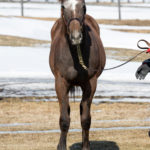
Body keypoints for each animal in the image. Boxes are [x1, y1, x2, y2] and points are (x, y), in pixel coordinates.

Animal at [49, 0, 105, 149]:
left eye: (84, 7)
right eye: (63, 7)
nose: (76, 37)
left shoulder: (90, 83)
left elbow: (85, 119)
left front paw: (86, 146)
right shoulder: (60, 83)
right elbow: (64, 119)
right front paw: (61, 146)